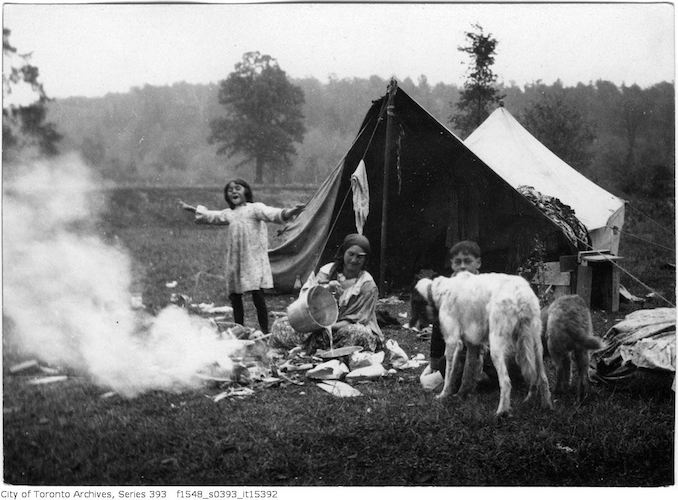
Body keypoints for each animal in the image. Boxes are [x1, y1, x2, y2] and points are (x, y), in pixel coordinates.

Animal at [418, 272, 556, 416]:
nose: (419, 327)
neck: (442, 289)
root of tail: (521, 292)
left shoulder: (453, 344)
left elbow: (449, 376)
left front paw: (443, 395)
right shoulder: (473, 345)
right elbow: (467, 374)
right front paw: (461, 395)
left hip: (497, 348)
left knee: (506, 382)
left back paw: (501, 412)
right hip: (534, 345)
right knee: (542, 378)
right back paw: (543, 405)